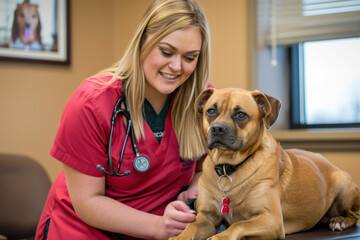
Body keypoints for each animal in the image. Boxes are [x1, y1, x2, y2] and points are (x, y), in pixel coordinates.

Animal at [169, 88, 360, 240]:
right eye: (211, 111)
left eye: (240, 114)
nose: (217, 128)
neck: (228, 168)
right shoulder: (206, 218)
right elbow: (191, 226)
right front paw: (179, 237)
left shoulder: (271, 219)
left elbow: (238, 224)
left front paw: (220, 237)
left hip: (342, 184)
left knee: (353, 215)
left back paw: (339, 221)